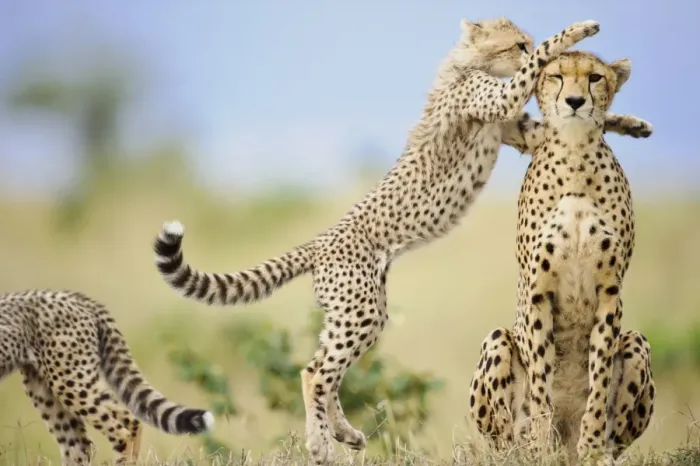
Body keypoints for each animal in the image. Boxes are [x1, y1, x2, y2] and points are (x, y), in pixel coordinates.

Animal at [150, 17, 605, 465]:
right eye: (518, 44)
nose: (530, 53)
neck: (467, 63)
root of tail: (322, 240)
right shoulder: (493, 100)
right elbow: (531, 72)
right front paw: (577, 32)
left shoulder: (519, 130)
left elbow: (549, 129)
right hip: (361, 309)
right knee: (314, 373)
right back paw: (320, 445)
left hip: (356, 311)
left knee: (324, 369)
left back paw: (343, 432)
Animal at [468, 50, 655, 465]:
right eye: (556, 76)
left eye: (595, 77)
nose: (574, 101)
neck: (575, 155)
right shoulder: (539, 292)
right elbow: (541, 382)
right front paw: (541, 445)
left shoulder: (609, 292)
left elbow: (598, 378)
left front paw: (591, 447)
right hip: (496, 343)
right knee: (505, 439)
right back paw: (530, 448)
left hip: (636, 342)